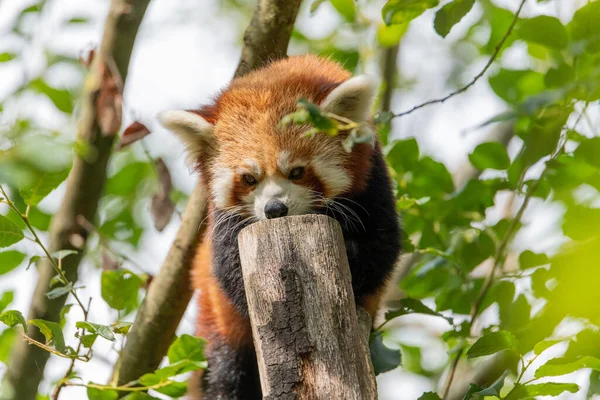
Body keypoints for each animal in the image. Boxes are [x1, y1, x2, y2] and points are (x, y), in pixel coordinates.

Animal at [162, 54, 400, 398]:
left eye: (297, 172)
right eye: (249, 179)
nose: (275, 209)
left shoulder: (373, 185)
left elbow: (380, 251)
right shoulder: (223, 223)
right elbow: (229, 270)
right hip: (216, 318)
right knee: (228, 370)